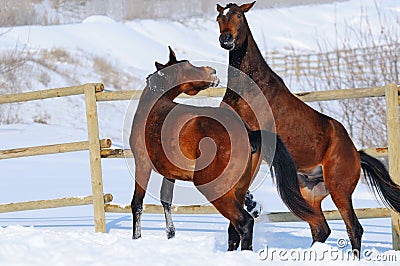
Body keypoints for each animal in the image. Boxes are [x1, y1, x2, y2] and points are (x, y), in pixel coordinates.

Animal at [130, 47, 310, 249]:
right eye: (187, 66)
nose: (213, 72)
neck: (153, 108)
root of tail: (248, 133)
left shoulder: (142, 164)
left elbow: (137, 204)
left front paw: (136, 237)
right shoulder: (169, 173)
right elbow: (165, 200)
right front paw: (170, 234)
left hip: (215, 189)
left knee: (244, 222)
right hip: (238, 189)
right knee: (233, 230)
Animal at [216, 2, 400, 255]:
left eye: (239, 15)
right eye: (219, 18)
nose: (226, 39)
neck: (248, 90)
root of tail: (355, 153)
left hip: (339, 189)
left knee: (354, 228)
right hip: (310, 191)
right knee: (321, 228)